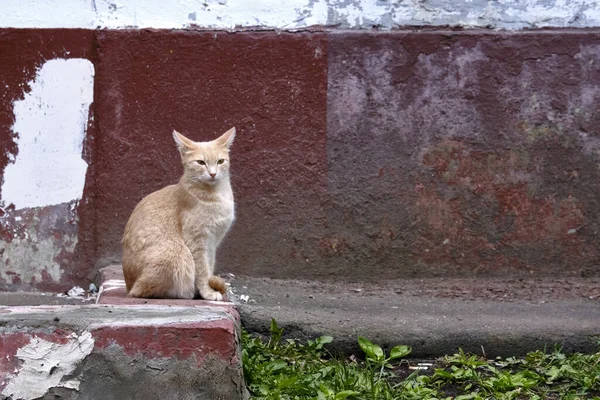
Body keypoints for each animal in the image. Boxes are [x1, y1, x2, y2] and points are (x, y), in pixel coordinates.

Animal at [120, 128, 236, 300]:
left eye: (220, 161)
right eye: (201, 162)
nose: (213, 174)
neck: (217, 193)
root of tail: (128, 286)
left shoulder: (212, 242)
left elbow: (210, 265)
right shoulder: (197, 241)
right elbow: (202, 270)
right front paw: (208, 292)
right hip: (176, 252)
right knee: (142, 290)